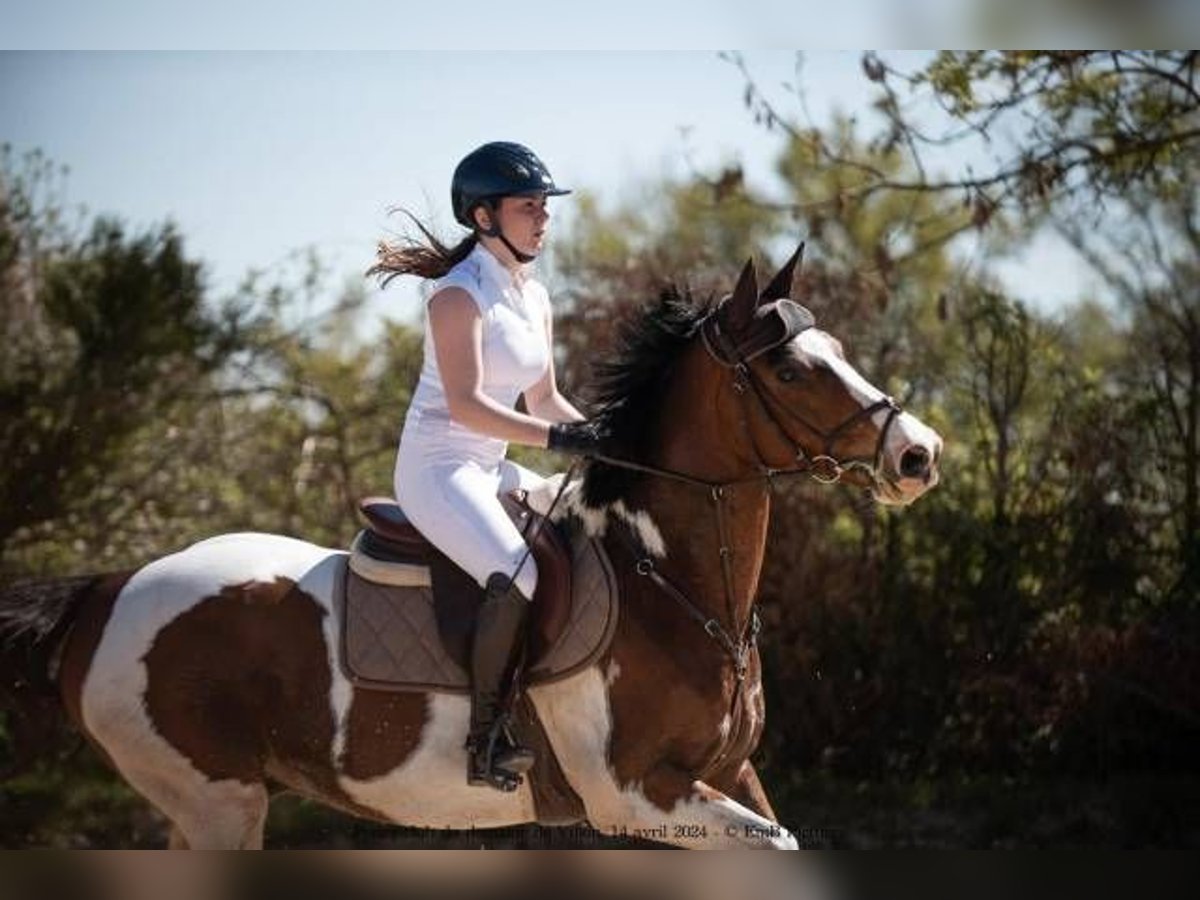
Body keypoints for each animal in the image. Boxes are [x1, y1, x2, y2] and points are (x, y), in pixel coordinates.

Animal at [0, 250, 940, 849]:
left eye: (837, 351)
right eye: (789, 372)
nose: (918, 454)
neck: (669, 587)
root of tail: (110, 589)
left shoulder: (731, 775)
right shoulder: (636, 795)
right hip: (215, 802)